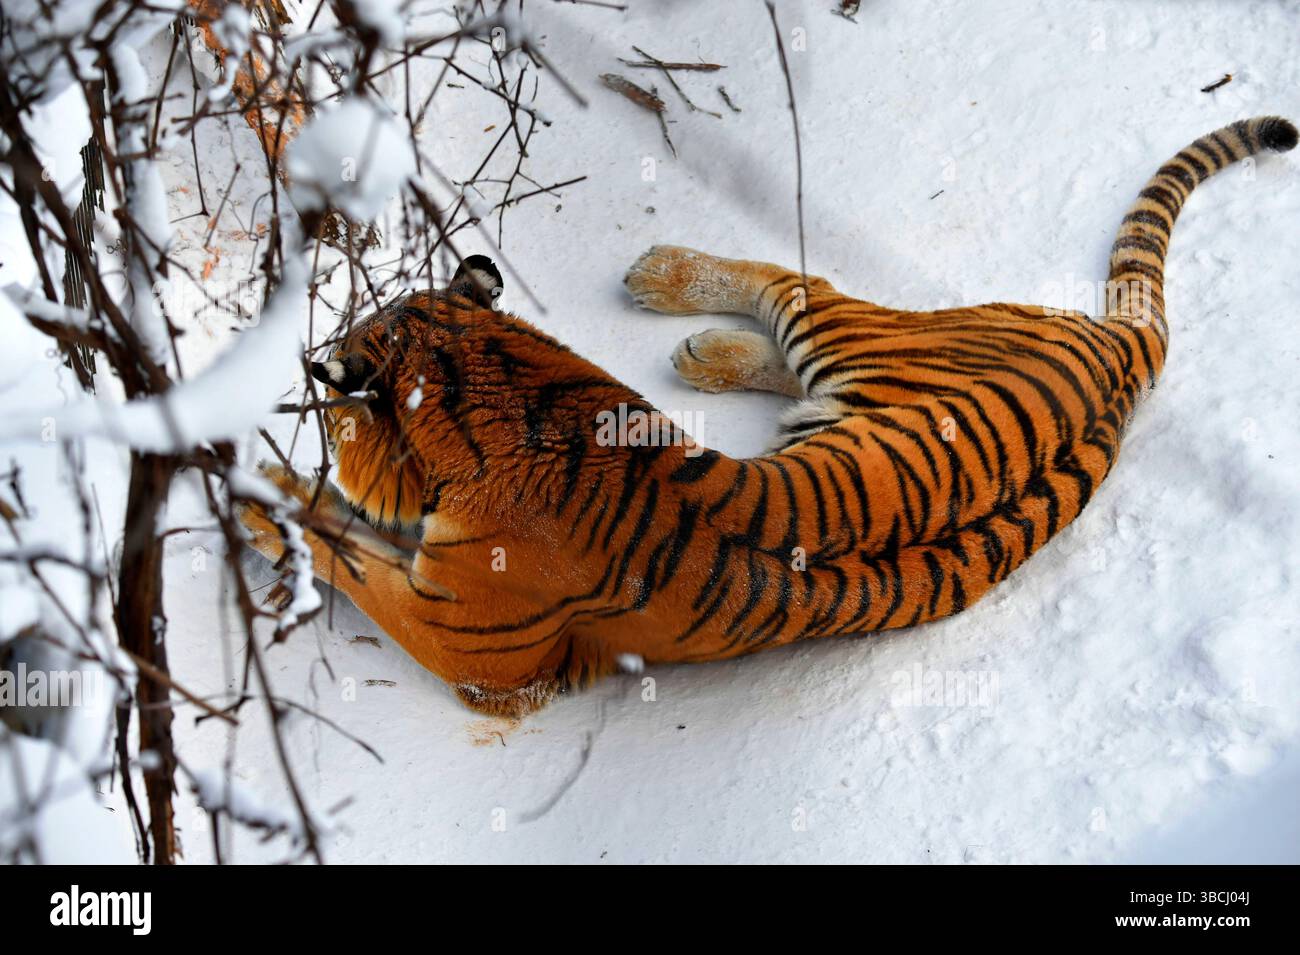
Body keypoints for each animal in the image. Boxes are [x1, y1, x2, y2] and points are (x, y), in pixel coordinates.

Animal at [240, 116, 1297, 717]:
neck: (505, 383)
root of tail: (1125, 348)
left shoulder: (476, 654)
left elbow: (343, 546)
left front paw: (260, 495)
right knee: (785, 342)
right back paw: (698, 349)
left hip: (853, 326)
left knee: (794, 278)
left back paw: (661, 277)